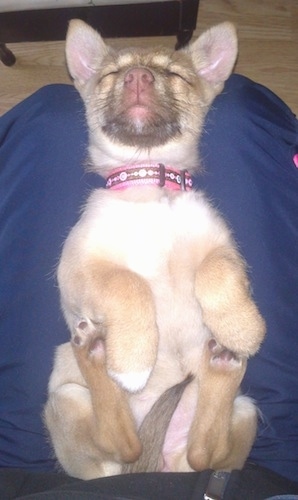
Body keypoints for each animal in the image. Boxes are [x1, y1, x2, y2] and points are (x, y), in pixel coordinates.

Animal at [44, 20, 266, 480]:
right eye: (112, 74)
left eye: (174, 74)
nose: (138, 77)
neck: (148, 184)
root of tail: (156, 465)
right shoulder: (75, 268)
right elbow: (128, 284)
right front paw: (133, 362)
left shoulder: (224, 250)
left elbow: (216, 275)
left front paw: (242, 329)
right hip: (67, 398)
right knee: (120, 441)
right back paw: (97, 357)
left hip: (244, 412)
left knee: (204, 453)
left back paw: (224, 365)